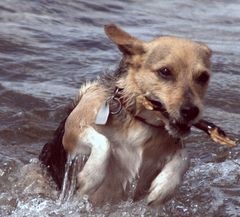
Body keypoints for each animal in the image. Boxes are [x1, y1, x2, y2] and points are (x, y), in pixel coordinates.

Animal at [60, 23, 212, 205]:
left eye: (203, 77)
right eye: (165, 71)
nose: (191, 111)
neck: (138, 119)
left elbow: (184, 157)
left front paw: (164, 187)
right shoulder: (72, 131)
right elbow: (104, 142)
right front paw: (90, 177)